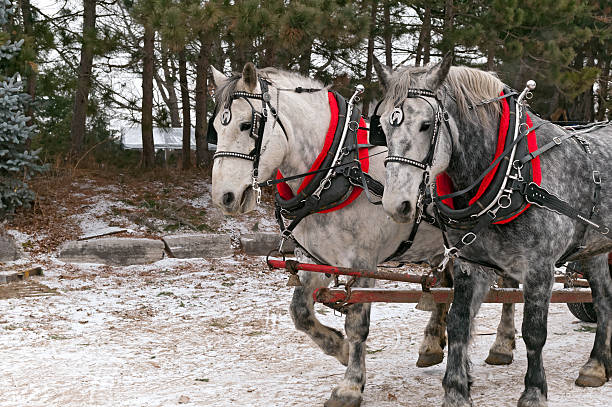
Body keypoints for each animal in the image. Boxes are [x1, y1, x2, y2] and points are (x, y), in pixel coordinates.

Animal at [212, 63, 520, 407]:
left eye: (246, 125)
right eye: (216, 127)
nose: (224, 197)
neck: (339, 167)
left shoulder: (362, 263)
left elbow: (357, 324)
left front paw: (350, 386)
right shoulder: (319, 258)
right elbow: (300, 312)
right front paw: (340, 348)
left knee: (507, 286)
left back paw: (502, 345)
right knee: (446, 288)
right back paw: (431, 344)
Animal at [376, 57, 608, 407]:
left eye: (426, 125)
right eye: (383, 125)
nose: (395, 204)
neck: (512, 172)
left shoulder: (540, 267)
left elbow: (534, 331)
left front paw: (534, 391)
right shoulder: (471, 264)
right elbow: (458, 323)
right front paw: (456, 391)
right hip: (594, 249)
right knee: (605, 300)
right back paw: (596, 366)